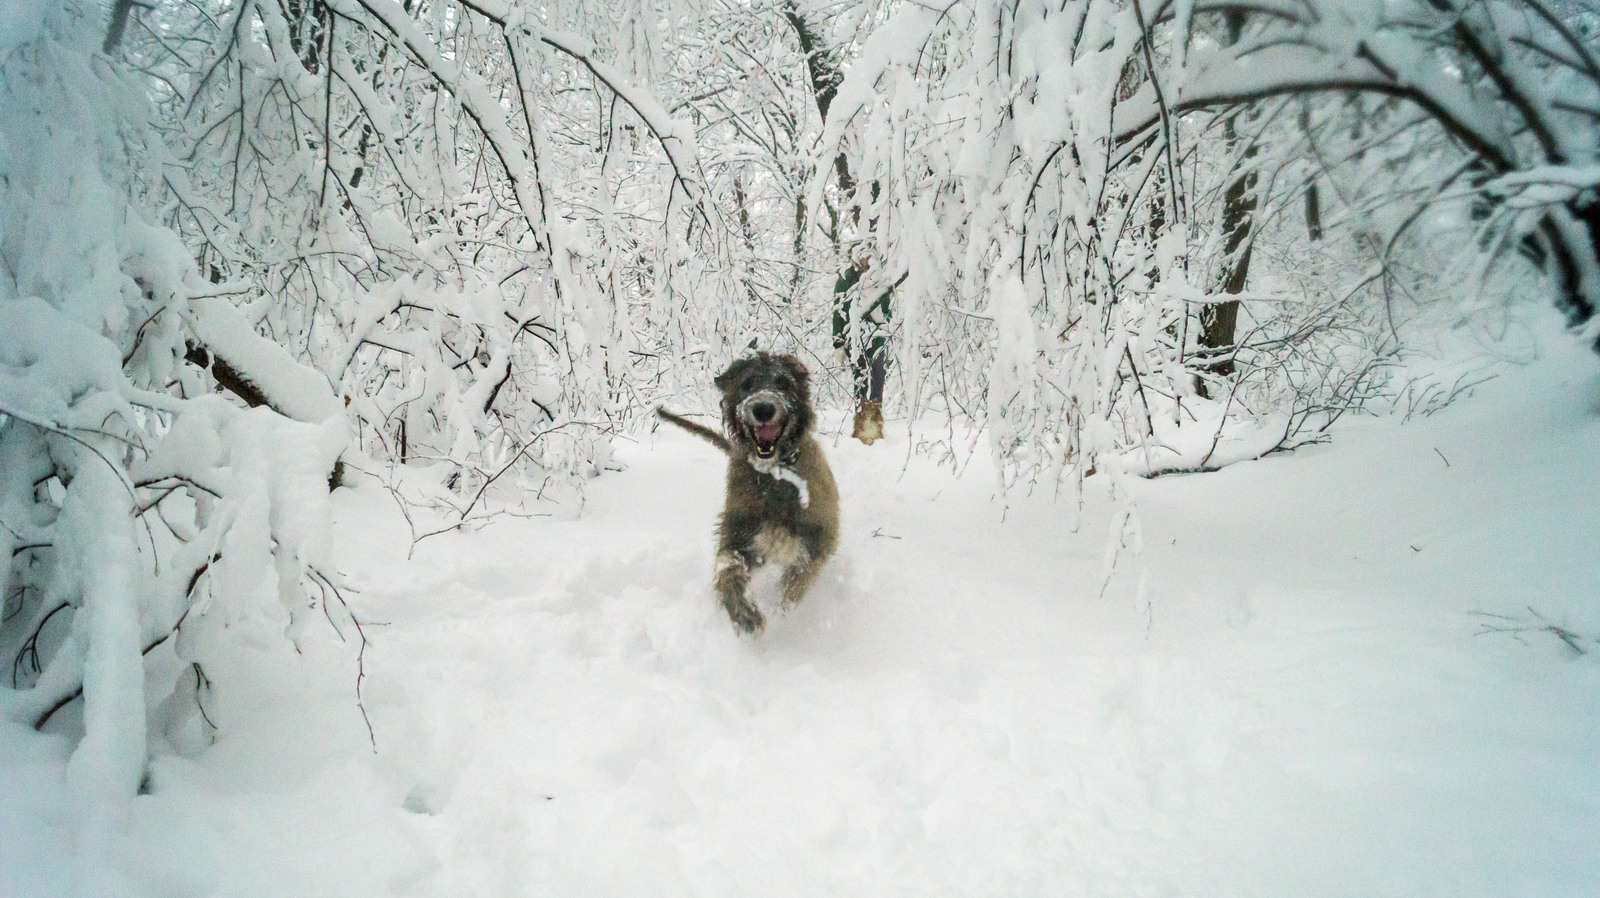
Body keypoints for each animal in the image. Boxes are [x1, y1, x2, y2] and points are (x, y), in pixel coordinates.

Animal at [656, 353, 844, 633]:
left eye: (783, 382)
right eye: (747, 383)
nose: (763, 409)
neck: (774, 475)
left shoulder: (817, 539)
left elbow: (798, 580)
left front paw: (783, 615)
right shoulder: (738, 531)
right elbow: (727, 564)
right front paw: (743, 611)